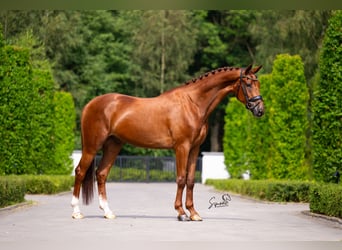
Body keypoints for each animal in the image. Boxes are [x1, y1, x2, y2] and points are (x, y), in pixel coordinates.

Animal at [71, 64, 264, 221]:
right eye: (248, 84)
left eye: (258, 83)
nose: (260, 110)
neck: (193, 104)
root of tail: (90, 104)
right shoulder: (182, 147)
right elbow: (181, 179)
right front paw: (181, 212)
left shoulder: (194, 148)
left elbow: (191, 180)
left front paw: (194, 213)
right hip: (92, 147)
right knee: (80, 171)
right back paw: (76, 212)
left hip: (113, 145)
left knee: (101, 174)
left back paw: (108, 212)